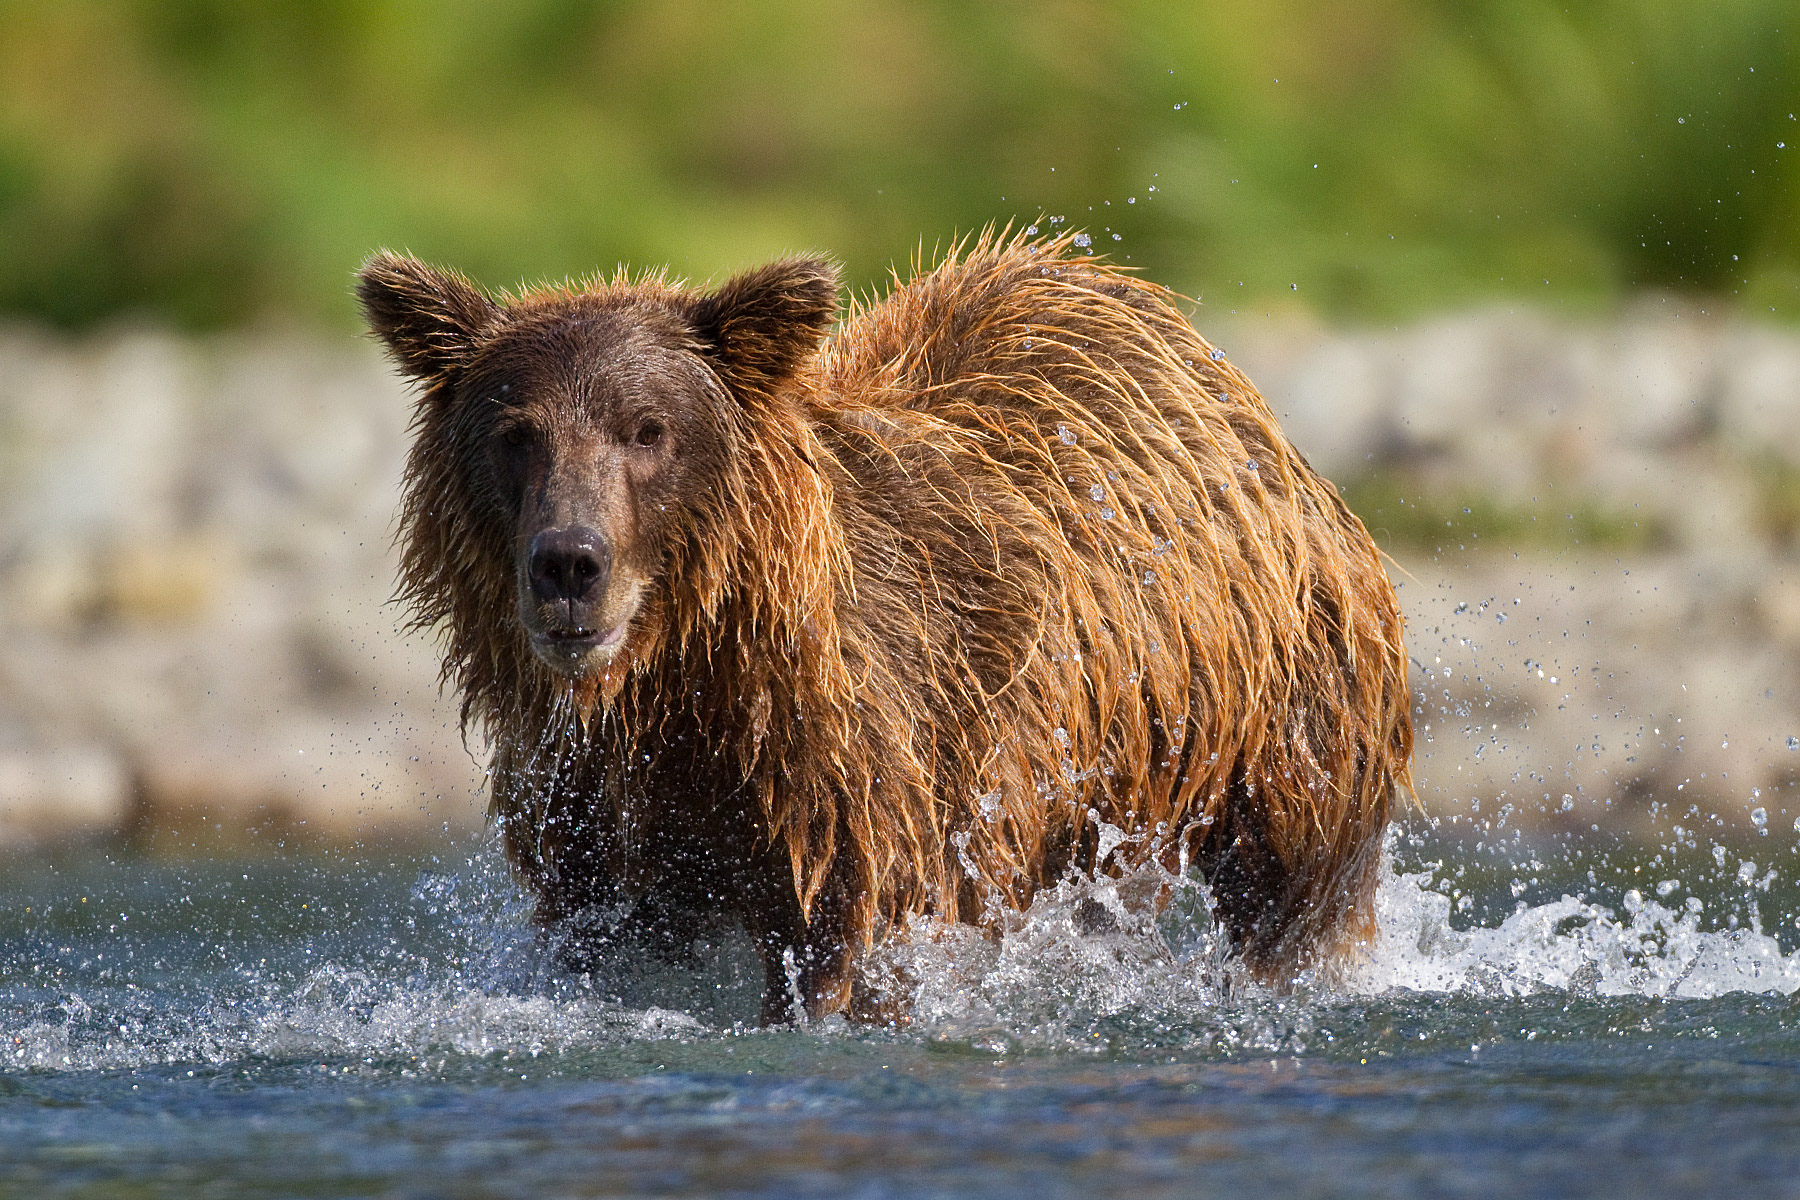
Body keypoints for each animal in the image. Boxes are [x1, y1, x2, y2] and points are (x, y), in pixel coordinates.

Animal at [356, 230, 1413, 1024]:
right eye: (515, 434)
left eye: (647, 428)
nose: (570, 564)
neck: (690, 678)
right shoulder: (598, 808)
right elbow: (601, 935)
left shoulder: (866, 771)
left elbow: (849, 947)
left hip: (1273, 693)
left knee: (1296, 879)